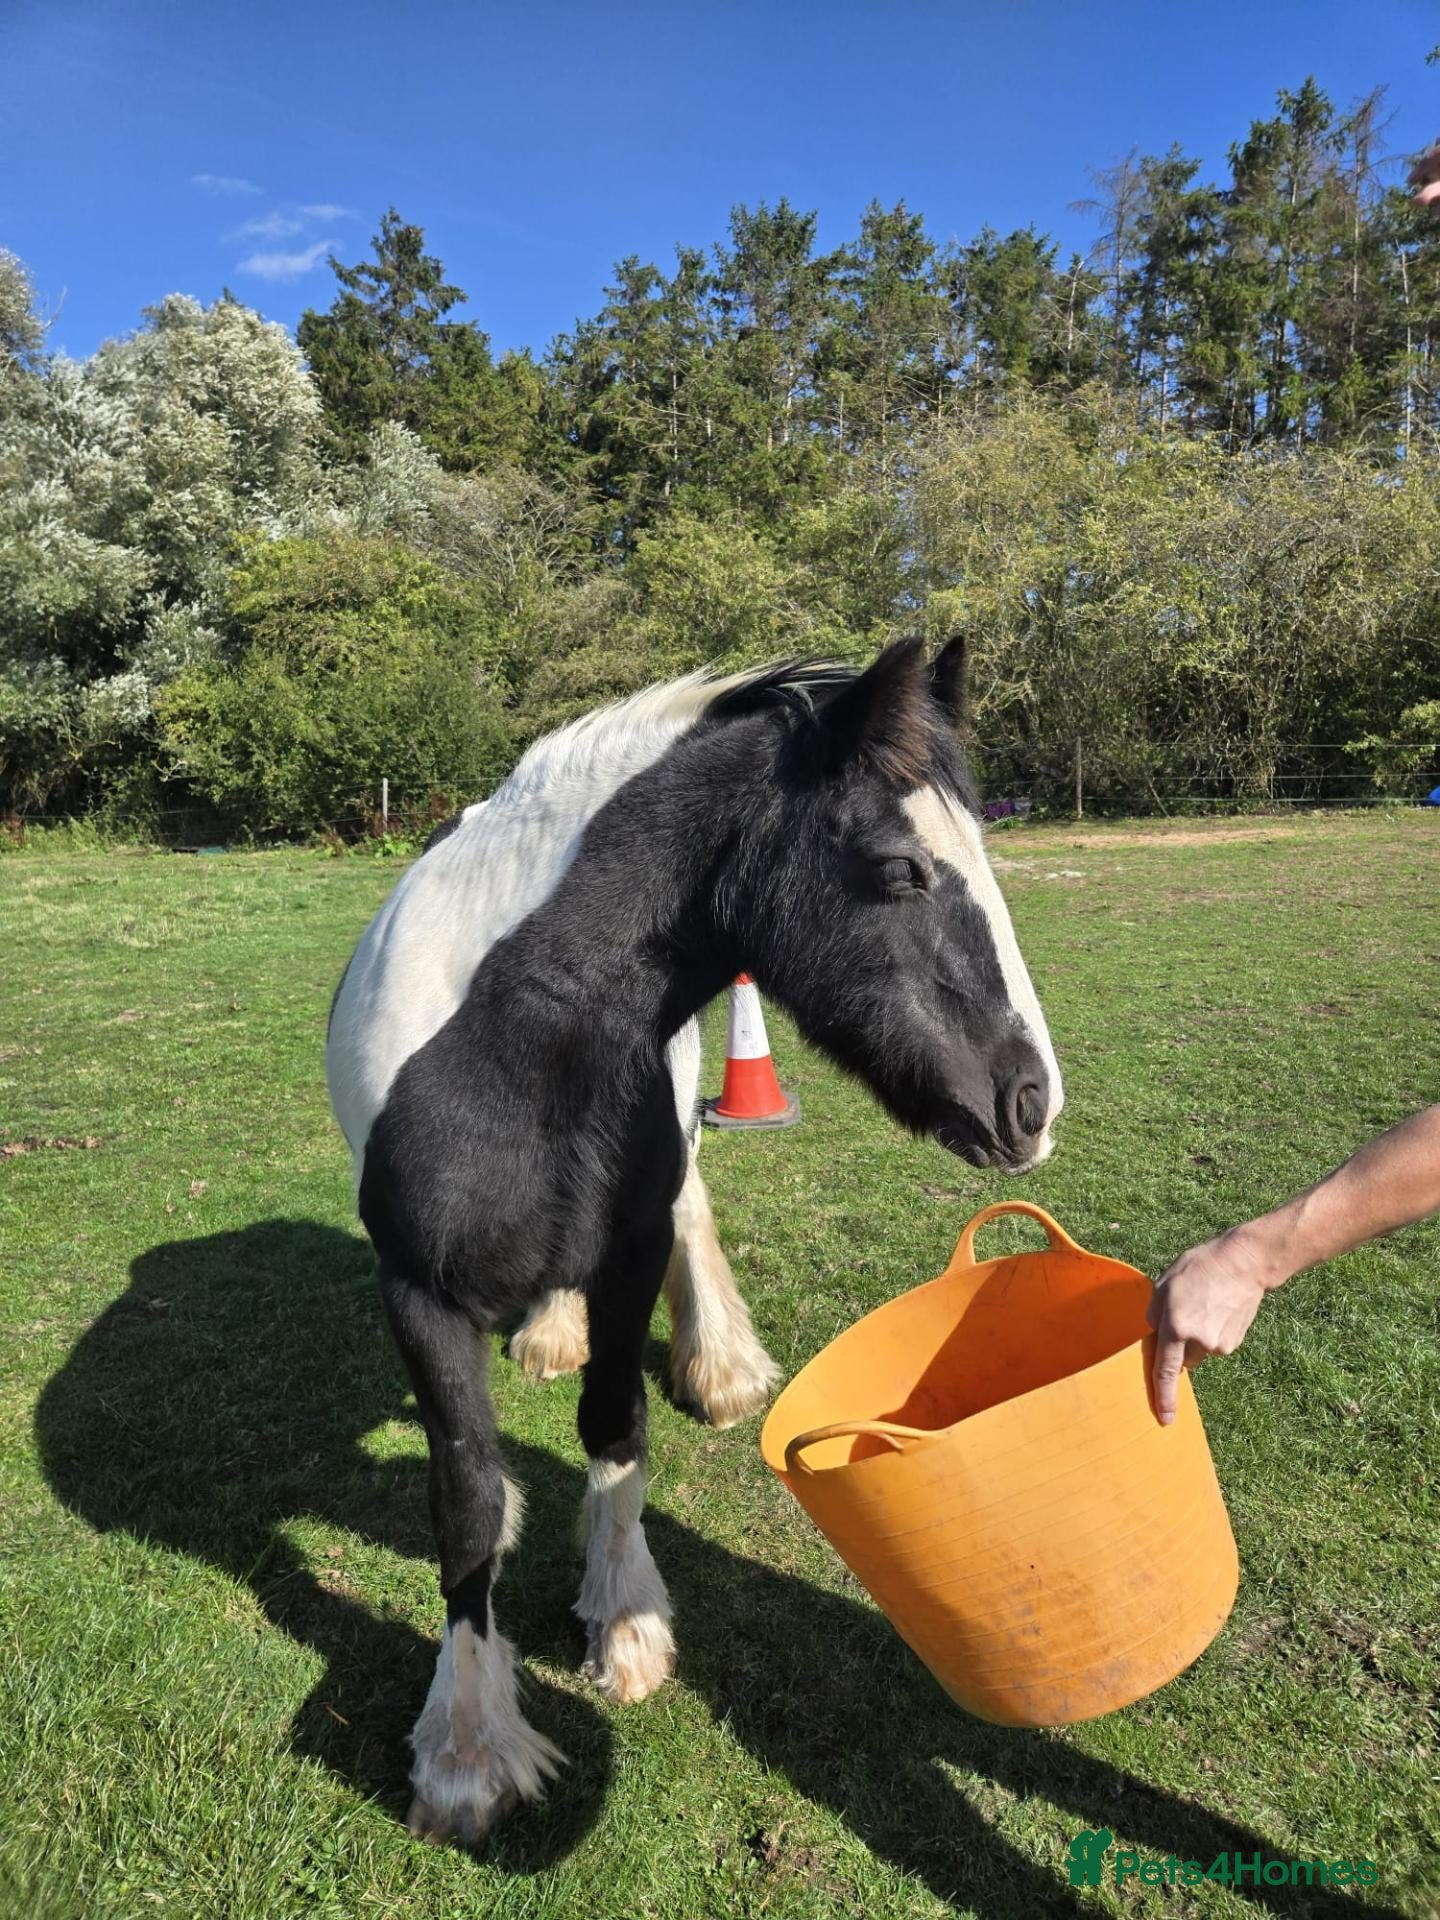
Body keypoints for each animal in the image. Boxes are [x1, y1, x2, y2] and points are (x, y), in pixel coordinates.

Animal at [325, 635, 1063, 1846]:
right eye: (902, 870)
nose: (1033, 1105)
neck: (512, 1029)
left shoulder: (629, 1250)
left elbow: (616, 1428)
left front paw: (624, 1623)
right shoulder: (416, 1291)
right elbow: (470, 1498)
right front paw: (467, 1750)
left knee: (692, 1215)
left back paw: (714, 1365)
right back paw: (551, 1333)